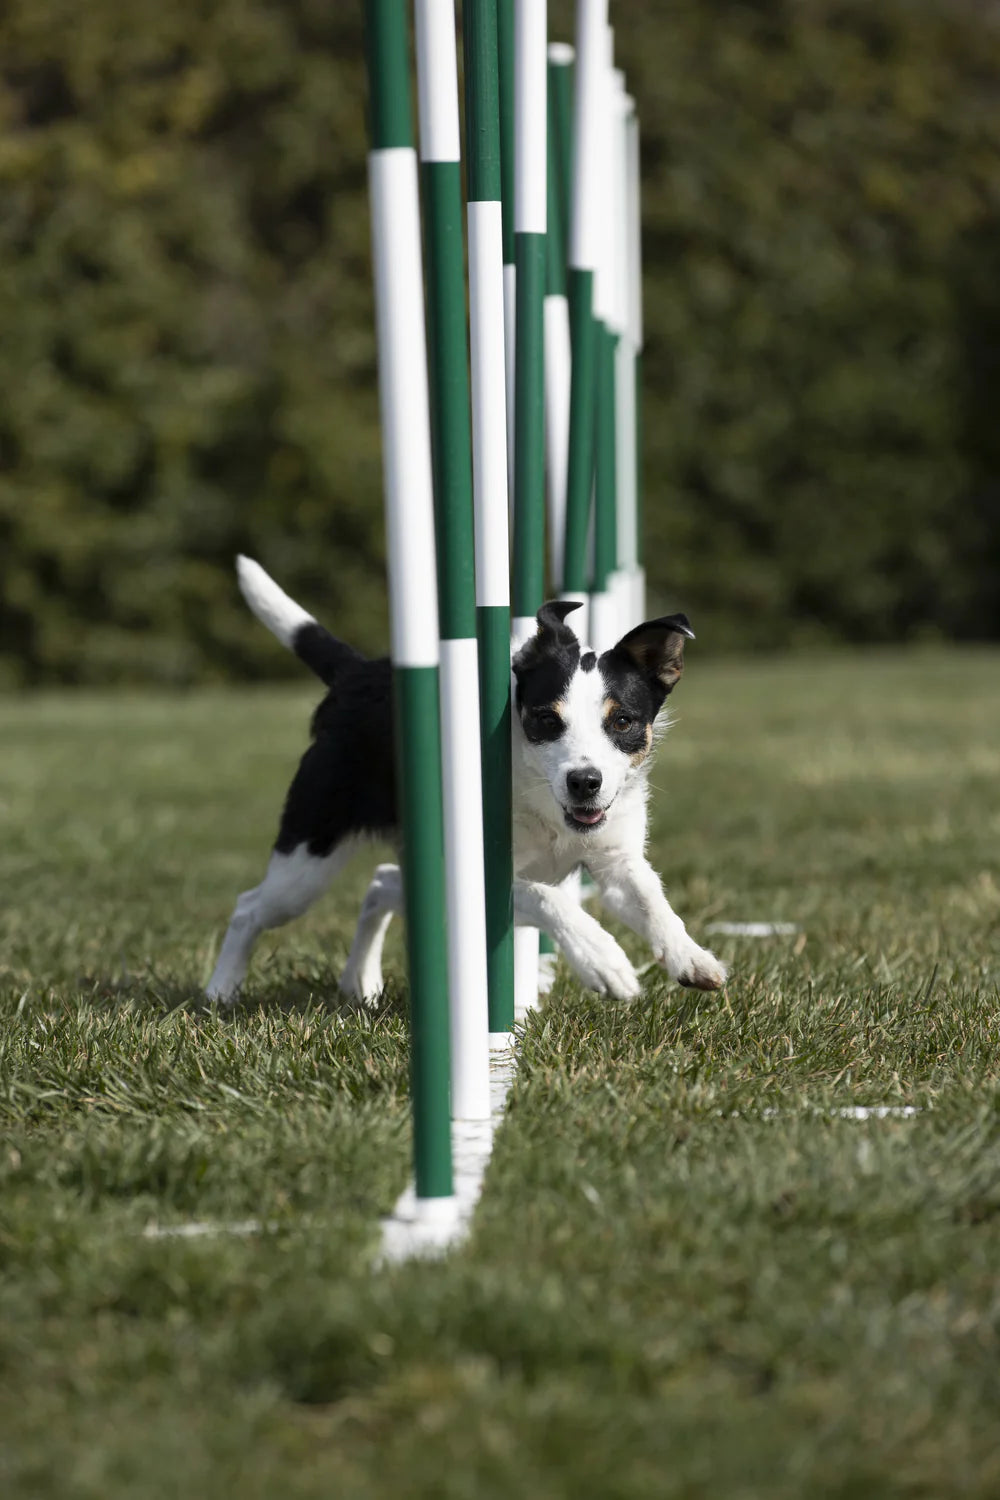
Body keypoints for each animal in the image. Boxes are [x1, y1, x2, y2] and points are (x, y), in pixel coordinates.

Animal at [206, 561, 728, 1008]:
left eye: (622, 721)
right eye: (546, 720)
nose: (585, 782)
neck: (542, 801)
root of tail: (357, 674)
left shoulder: (615, 855)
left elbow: (651, 902)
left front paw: (692, 959)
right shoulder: (483, 873)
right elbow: (548, 898)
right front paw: (603, 960)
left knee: (381, 883)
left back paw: (361, 981)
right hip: (309, 856)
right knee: (251, 906)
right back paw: (221, 990)